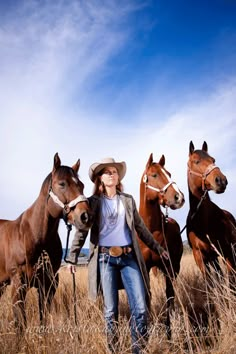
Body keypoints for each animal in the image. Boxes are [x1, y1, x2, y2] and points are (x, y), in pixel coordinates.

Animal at [0, 153, 91, 330]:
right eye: (62, 184)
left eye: (82, 185)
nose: (86, 216)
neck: (33, 236)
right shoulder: (18, 286)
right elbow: (21, 324)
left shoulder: (48, 285)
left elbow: (44, 320)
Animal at [137, 153, 185, 338]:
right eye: (154, 175)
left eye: (169, 173)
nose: (179, 197)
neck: (152, 232)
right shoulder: (144, 268)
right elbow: (147, 296)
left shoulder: (168, 267)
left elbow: (168, 296)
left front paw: (169, 332)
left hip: (174, 267)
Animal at [186, 141, 236, 288]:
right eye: (196, 161)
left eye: (213, 160)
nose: (221, 180)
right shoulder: (201, 258)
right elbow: (210, 284)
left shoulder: (227, 252)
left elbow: (231, 282)